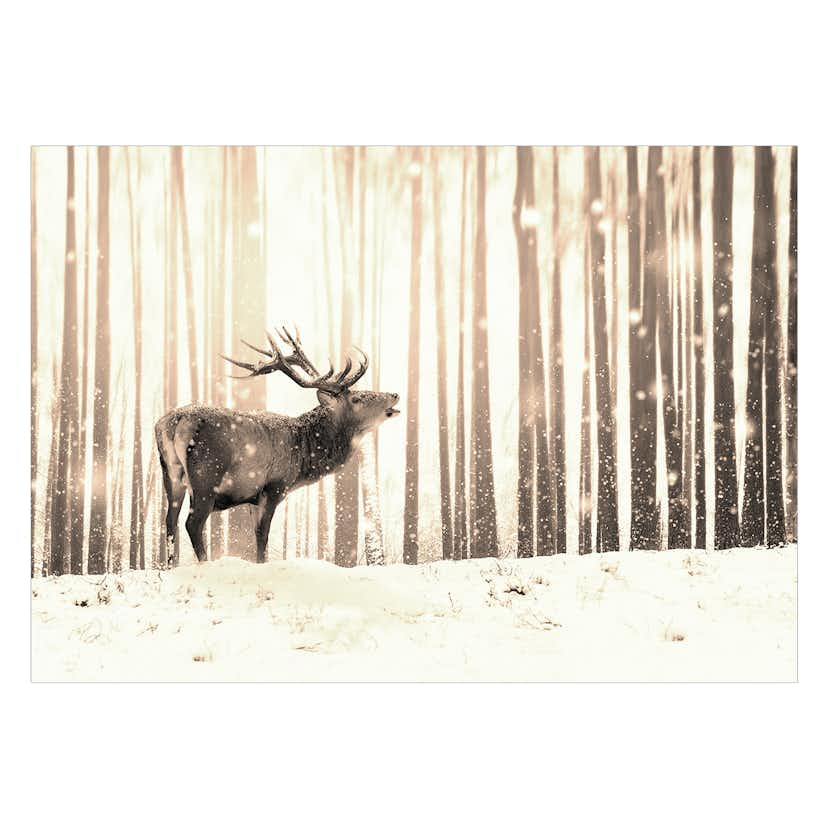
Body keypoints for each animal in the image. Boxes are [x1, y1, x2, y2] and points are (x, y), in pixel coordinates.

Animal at [154, 326, 400, 566]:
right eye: (357, 399)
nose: (394, 394)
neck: (303, 456)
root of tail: (175, 422)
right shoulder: (274, 486)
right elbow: (263, 536)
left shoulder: (252, 497)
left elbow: (256, 535)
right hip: (206, 474)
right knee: (193, 523)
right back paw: (204, 564)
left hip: (171, 473)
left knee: (170, 521)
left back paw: (170, 566)